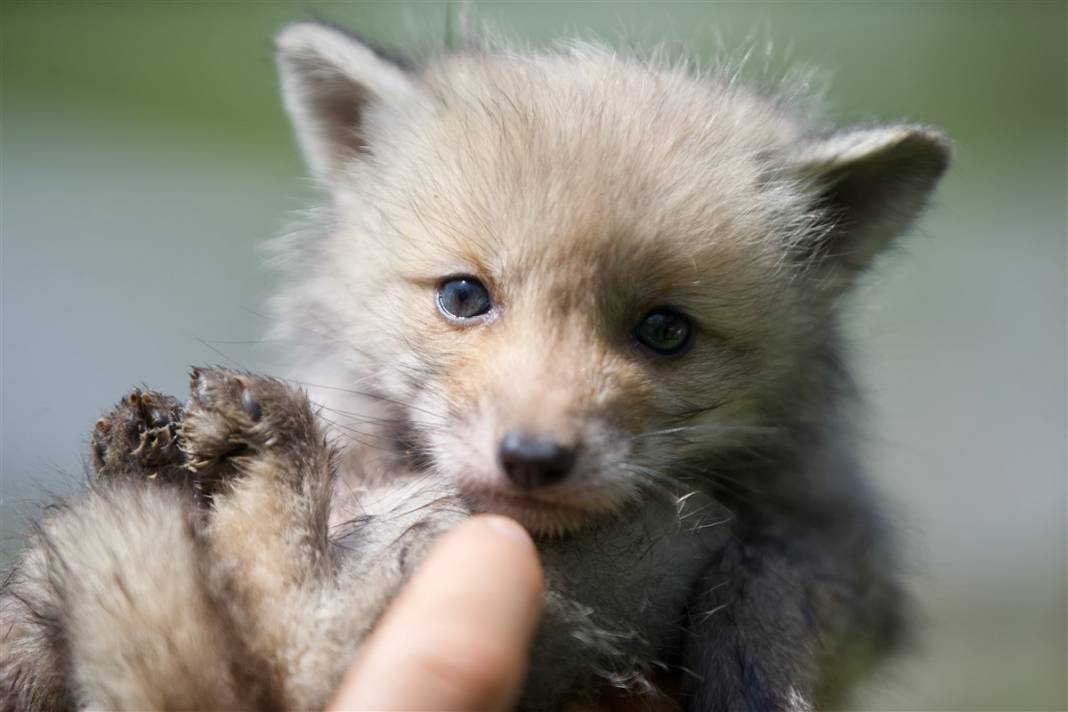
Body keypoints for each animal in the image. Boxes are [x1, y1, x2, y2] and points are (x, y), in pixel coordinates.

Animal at [2, 22, 952, 712]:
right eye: (464, 296)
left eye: (665, 332)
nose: (533, 459)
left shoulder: (846, 546)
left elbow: (783, 579)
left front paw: (754, 663)